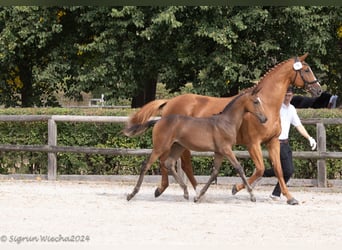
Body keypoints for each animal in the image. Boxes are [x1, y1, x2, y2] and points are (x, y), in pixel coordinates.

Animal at [125, 86, 268, 201]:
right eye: (256, 101)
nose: (265, 118)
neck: (226, 122)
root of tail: (159, 120)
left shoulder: (219, 152)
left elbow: (215, 172)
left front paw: (198, 196)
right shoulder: (226, 149)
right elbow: (239, 168)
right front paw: (252, 196)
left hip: (178, 146)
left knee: (169, 163)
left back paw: (186, 192)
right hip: (160, 147)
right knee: (147, 164)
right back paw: (132, 194)